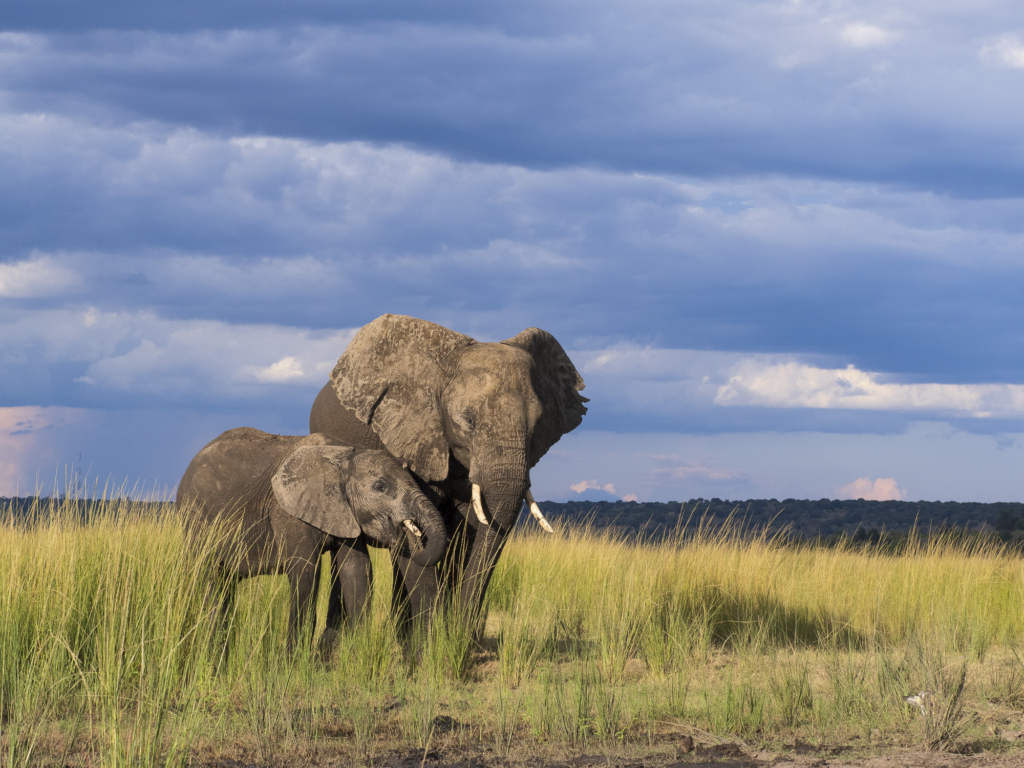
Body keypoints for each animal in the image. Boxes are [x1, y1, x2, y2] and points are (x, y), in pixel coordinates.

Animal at [307, 315, 589, 626]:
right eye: (468, 421)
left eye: (537, 425)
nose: (464, 628)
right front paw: (438, 634)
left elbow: (467, 533)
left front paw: (448, 632)